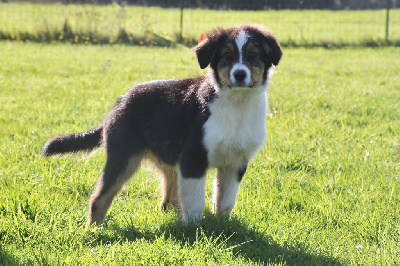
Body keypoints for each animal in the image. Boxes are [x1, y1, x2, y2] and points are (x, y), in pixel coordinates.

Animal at [41, 24, 282, 224]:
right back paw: (93, 230)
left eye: (253, 55)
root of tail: (119, 103)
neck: (236, 104)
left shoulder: (236, 162)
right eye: (227, 55)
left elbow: (225, 200)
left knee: (167, 199)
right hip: (123, 156)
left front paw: (223, 226)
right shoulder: (194, 157)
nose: (239, 74)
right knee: (100, 197)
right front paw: (195, 230)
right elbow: (195, 202)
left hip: (167, 158)